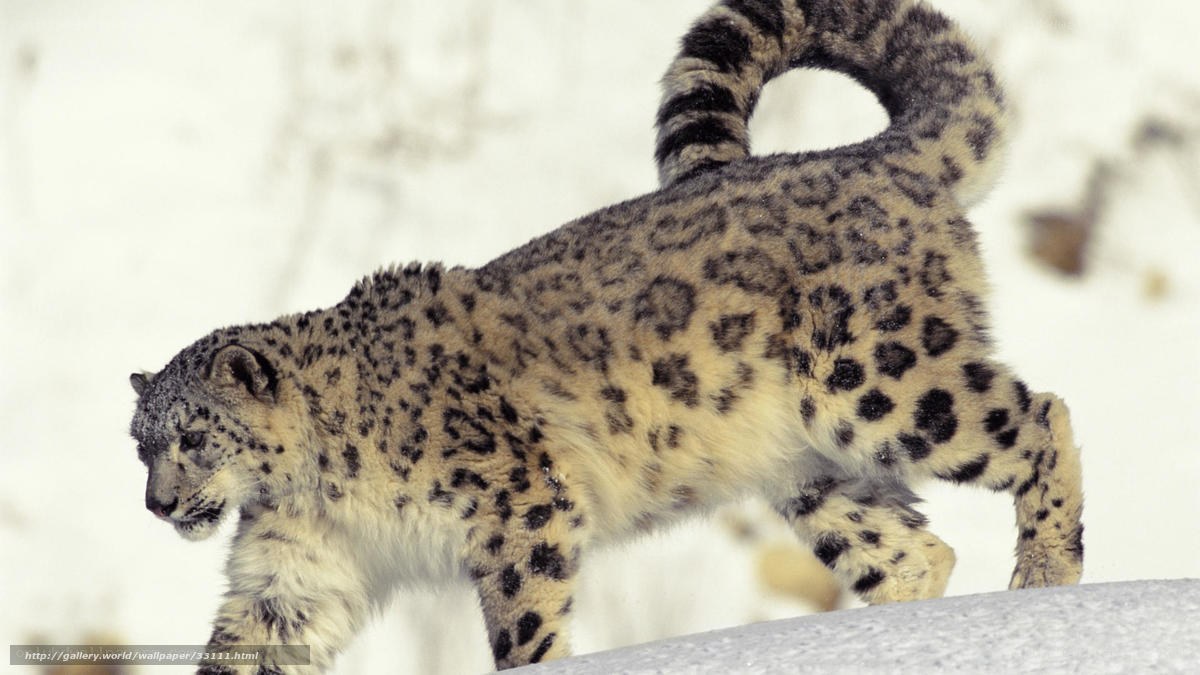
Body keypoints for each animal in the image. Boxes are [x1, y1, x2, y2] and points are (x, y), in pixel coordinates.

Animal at [128, 0, 1084, 671]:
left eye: (194, 436)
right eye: (139, 443)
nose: (158, 505)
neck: (316, 484)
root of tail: (877, 156)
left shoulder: (516, 502)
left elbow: (522, 618)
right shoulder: (295, 564)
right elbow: (247, 639)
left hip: (881, 379)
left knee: (1041, 415)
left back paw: (1044, 573)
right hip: (812, 469)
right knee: (913, 550)